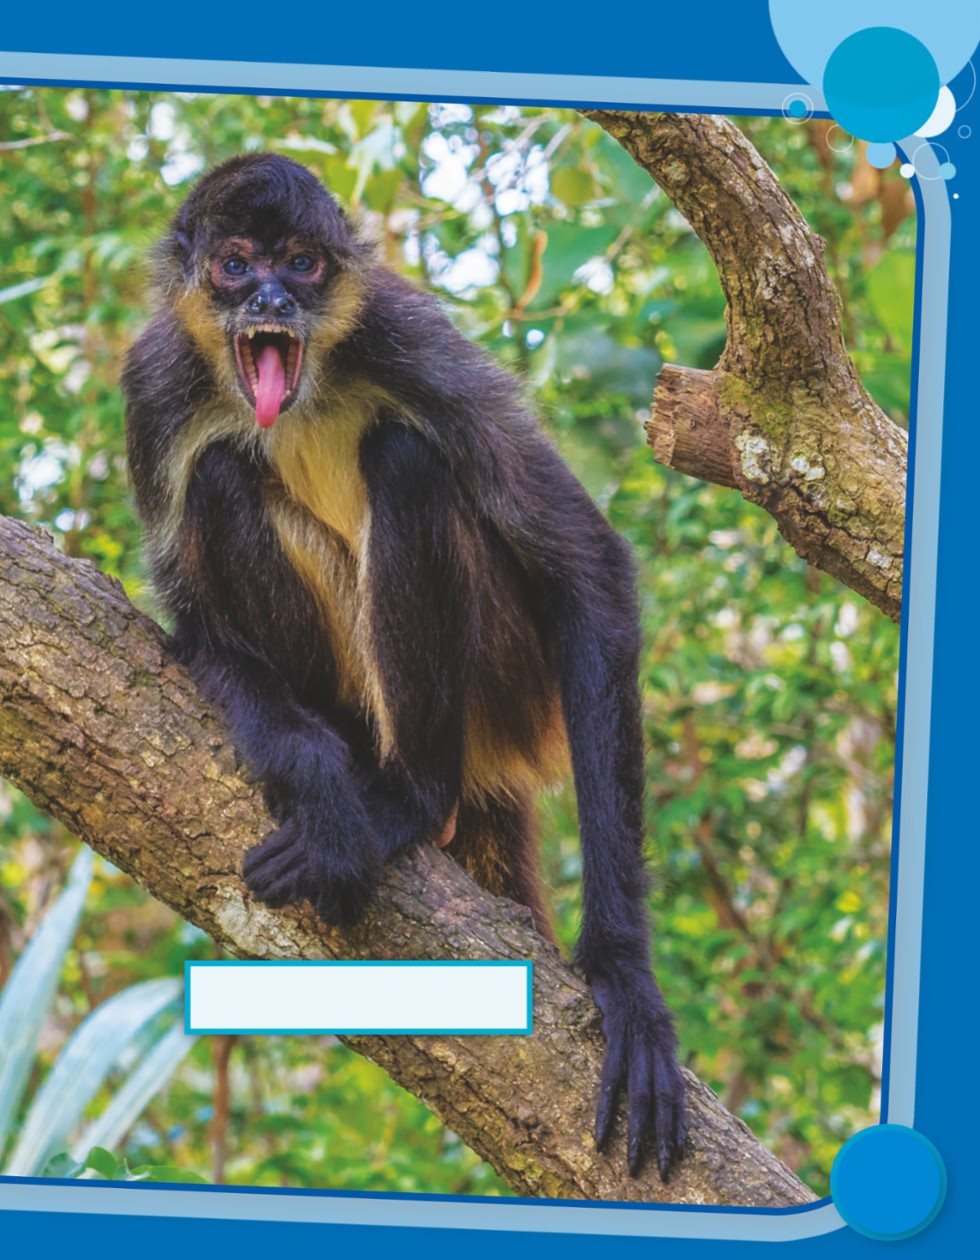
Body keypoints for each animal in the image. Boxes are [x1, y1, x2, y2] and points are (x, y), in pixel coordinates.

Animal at [122, 152, 685, 1174]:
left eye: (302, 264)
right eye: (234, 264)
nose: (270, 298)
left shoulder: (406, 335)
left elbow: (586, 566)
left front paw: (626, 977)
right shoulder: (155, 384)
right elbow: (196, 632)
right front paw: (313, 780)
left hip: (508, 682)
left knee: (406, 458)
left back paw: (413, 801)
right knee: (221, 473)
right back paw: (347, 766)